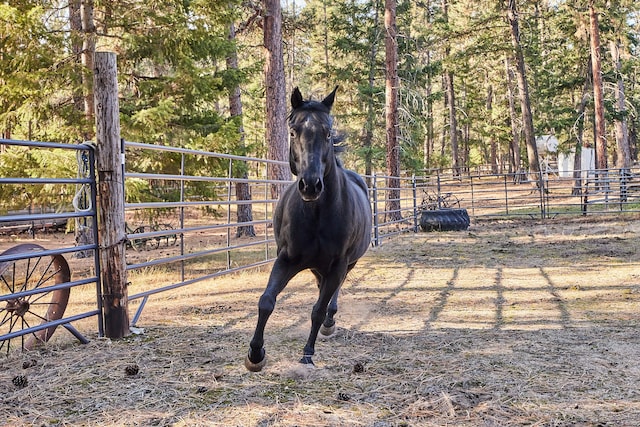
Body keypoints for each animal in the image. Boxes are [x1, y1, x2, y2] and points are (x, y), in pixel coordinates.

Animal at [246, 87, 376, 372]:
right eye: (294, 131)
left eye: (327, 132)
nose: (310, 185)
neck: (317, 215)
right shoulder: (286, 260)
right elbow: (266, 301)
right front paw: (255, 354)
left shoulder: (338, 265)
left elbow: (317, 309)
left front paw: (307, 353)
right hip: (317, 268)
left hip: (345, 265)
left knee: (332, 294)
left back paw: (329, 323)